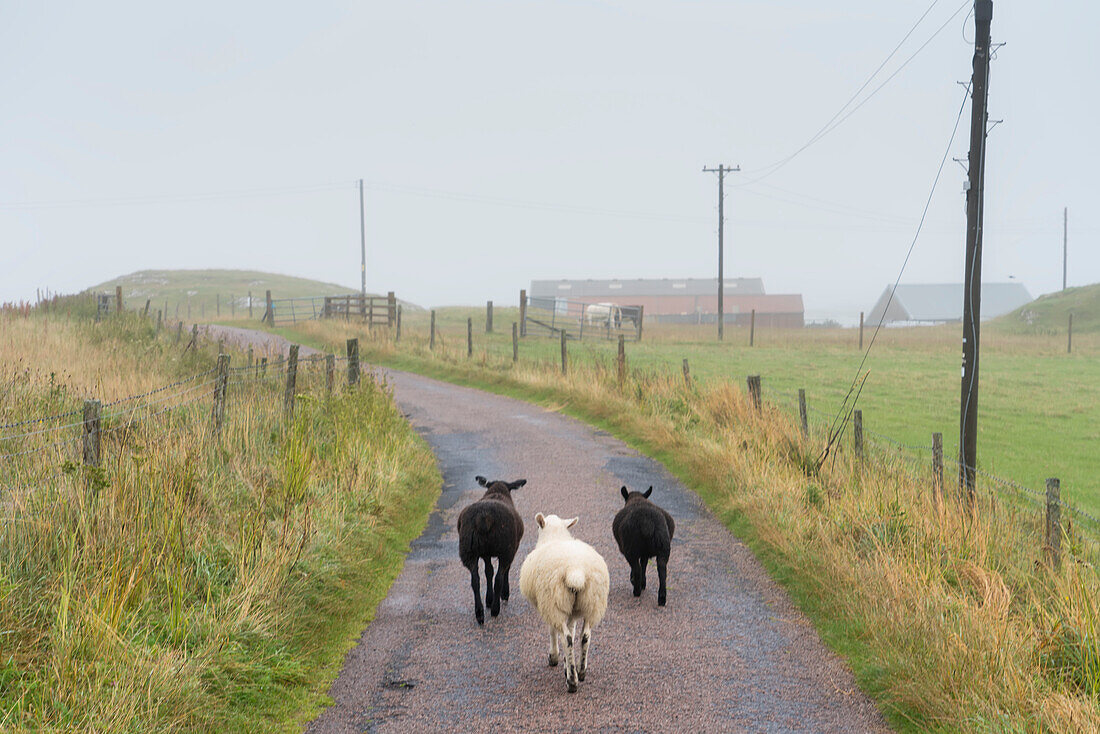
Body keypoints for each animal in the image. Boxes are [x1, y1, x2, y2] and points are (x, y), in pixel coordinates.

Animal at [455, 477, 523, 625]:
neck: (497, 492)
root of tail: (484, 517)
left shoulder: (485, 554)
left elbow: (488, 572)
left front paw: (488, 599)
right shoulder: (512, 549)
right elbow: (501, 572)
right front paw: (503, 595)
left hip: (468, 550)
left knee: (475, 580)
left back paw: (479, 613)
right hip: (506, 549)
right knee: (499, 578)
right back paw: (495, 609)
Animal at [517, 515, 611, 691]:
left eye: (538, 527)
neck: (555, 536)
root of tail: (576, 571)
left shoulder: (548, 606)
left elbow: (554, 631)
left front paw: (555, 658)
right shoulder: (572, 612)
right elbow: (573, 630)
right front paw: (567, 663)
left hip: (554, 602)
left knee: (566, 638)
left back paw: (572, 681)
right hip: (592, 604)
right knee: (585, 636)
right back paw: (581, 671)